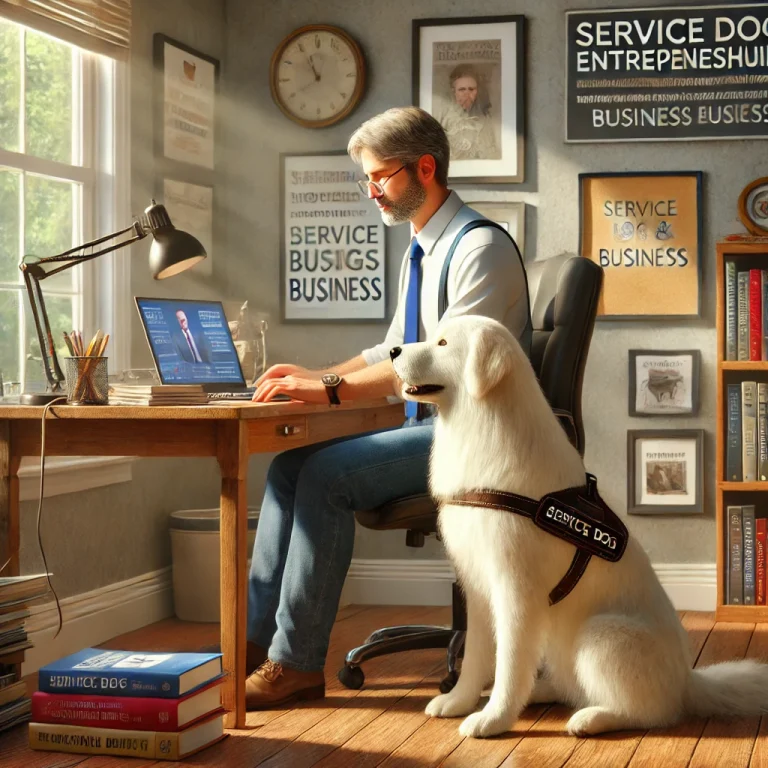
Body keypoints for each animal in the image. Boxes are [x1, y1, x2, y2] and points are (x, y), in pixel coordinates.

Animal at [390, 316, 768, 740]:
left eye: (442, 343)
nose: (393, 351)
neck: (482, 425)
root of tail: (689, 682)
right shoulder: (477, 585)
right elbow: (474, 655)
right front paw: (458, 701)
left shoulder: (517, 590)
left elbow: (509, 663)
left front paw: (494, 719)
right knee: (572, 686)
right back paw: (543, 692)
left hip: (599, 636)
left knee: (653, 713)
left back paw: (592, 718)